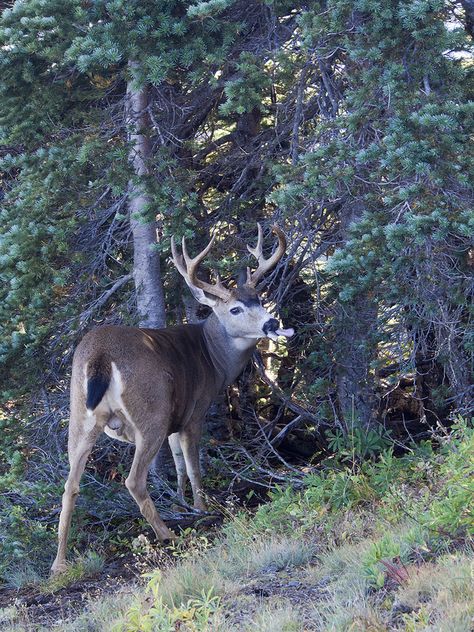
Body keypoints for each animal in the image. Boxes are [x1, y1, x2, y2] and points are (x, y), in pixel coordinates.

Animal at [51, 225, 292, 576]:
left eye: (258, 299)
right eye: (235, 309)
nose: (272, 323)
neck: (213, 359)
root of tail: (100, 356)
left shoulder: (175, 422)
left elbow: (178, 462)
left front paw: (181, 500)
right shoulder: (194, 411)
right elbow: (193, 466)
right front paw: (202, 508)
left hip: (80, 415)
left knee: (70, 485)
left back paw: (59, 563)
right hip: (151, 411)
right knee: (134, 480)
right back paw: (167, 535)